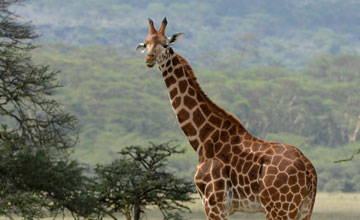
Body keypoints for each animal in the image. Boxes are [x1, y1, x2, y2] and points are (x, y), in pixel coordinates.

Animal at [136, 18, 318, 219]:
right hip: (303, 208)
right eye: (145, 44)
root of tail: (309, 170)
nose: (149, 58)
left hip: (279, 207)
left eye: (165, 44)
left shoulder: (214, 203)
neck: (202, 139)